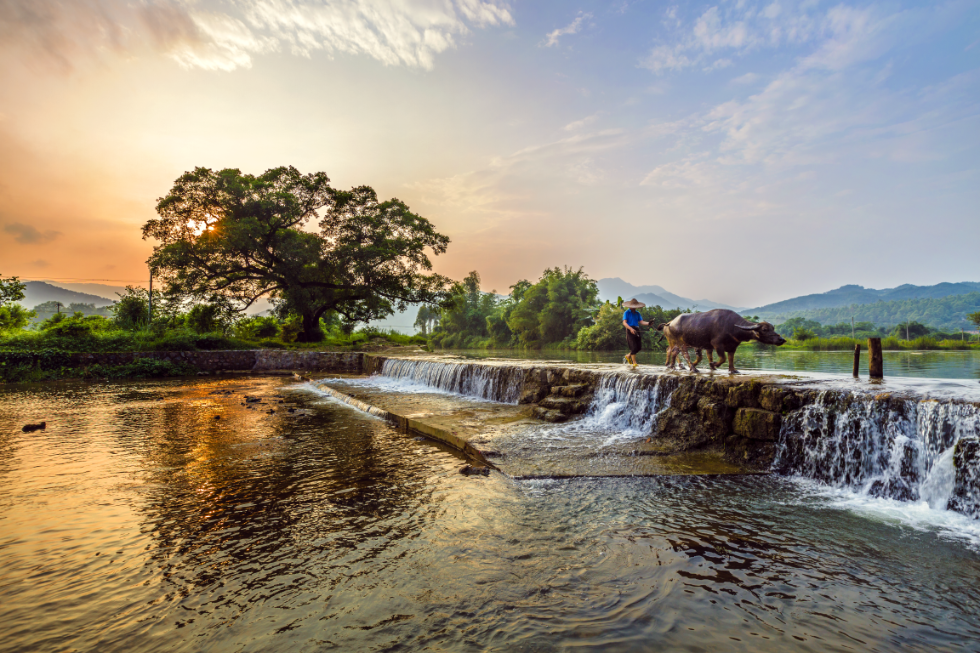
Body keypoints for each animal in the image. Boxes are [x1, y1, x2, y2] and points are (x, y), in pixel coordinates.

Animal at [660, 310, 788, 372]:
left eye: (773, 328)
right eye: (765, 329)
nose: (781, 339)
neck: (732, 326)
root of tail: (671, 323)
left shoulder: (733, 346)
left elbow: (730, 359)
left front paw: (733, 370)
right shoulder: (716, 344)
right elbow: (723, 358)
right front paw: (713, 365)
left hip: (677, 343)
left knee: (673, 352)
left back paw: (672, 366)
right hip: (681, 342)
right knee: (684, 354)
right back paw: (693, 368)